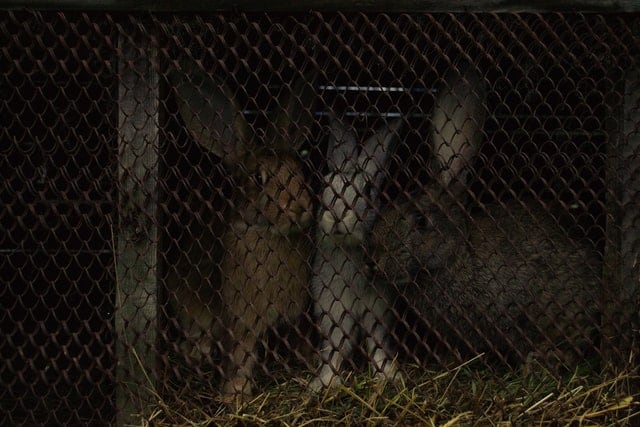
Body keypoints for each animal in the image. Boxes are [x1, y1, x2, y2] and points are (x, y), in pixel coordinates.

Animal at [168, 59, 318, 398]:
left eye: (300, 171)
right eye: (258, 179)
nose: (300, 207)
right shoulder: (239, 318)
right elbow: (240, 353)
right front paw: (234, 395)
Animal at [308, 115, 402, 392]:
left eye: (368, 190)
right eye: (325, 184)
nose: (337, 214)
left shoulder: (378, 309)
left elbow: (378, 343)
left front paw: (390, 376)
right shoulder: (333, 309)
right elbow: (335, 347)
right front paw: (322, 383)